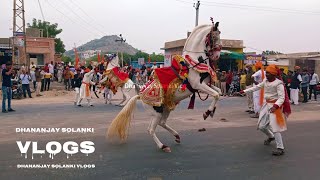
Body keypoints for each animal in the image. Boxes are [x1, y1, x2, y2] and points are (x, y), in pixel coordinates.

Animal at [106, 20, 221, 153]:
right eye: (214, 36)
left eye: (220, 34)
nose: (217, 55)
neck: (194, 61)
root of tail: (140, 95)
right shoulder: (198, 84)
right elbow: (216, 94)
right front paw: (207, 112)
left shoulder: (205, 85)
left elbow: (218, 92)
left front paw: (212, 111)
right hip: (156, 112)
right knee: (151, 129)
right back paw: (163, 146)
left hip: (166, 108)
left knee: (162, 123)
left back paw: (176, 136)